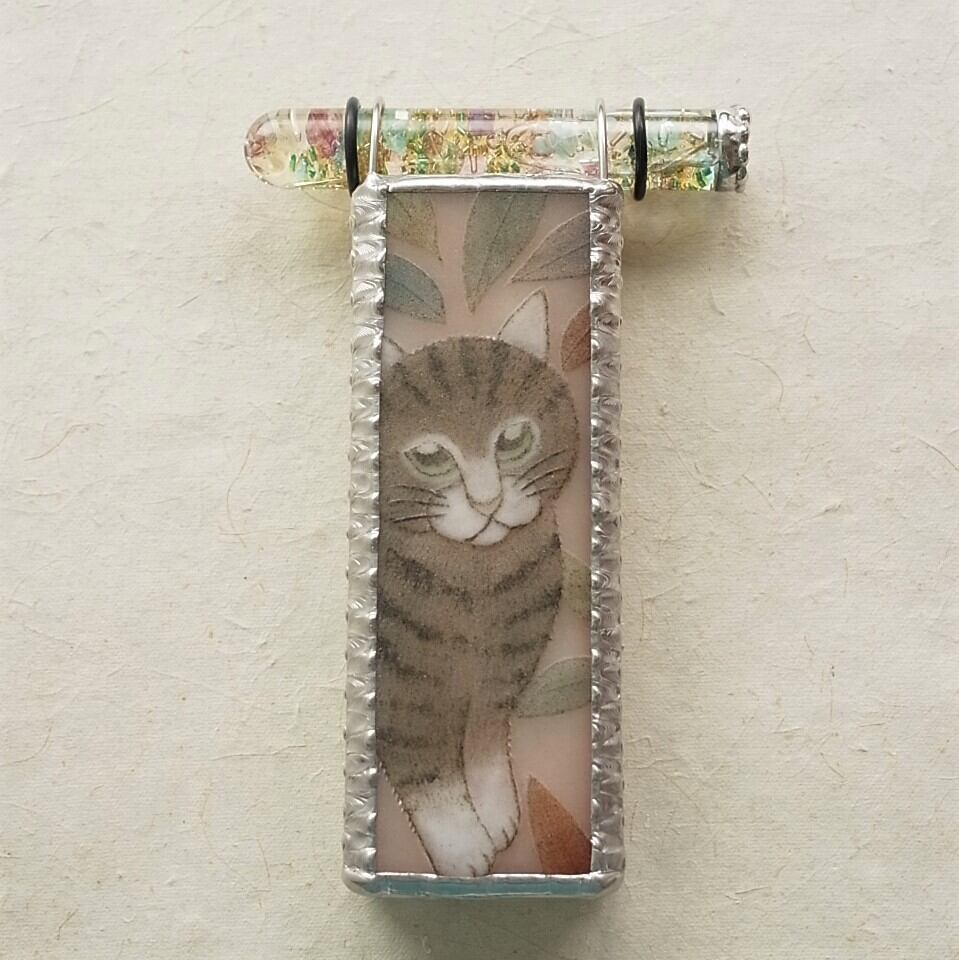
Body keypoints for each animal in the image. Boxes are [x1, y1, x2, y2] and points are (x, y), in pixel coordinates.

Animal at [375, 289, 579, 876]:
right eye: (429, 456)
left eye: (512, 438)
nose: (487, 502)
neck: (478, 583)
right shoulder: (404, 688)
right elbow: (426, 770)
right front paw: (461, 844)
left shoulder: (506, 668)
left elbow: (486, 741)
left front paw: (494, 811)